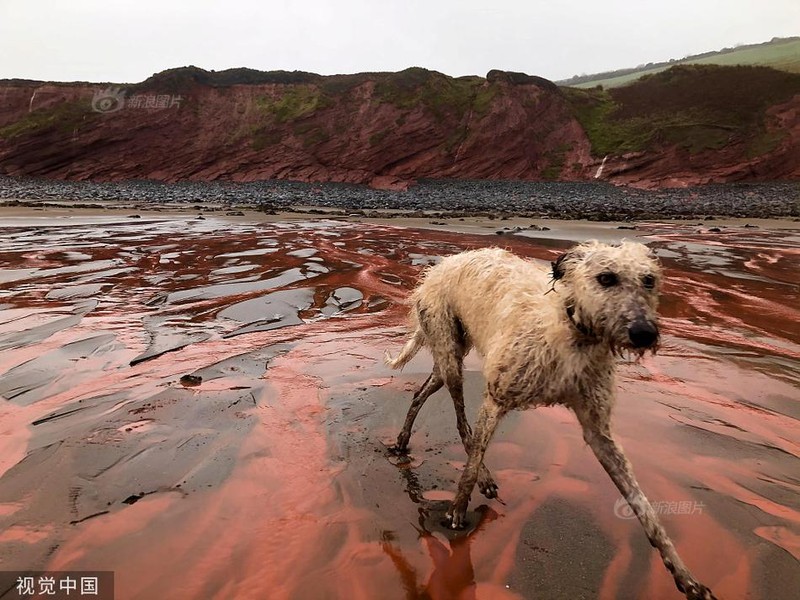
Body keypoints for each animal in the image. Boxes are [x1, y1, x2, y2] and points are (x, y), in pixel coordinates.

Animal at [384, 241, 716, 596]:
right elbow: (471, 465)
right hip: (449, 351)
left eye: (649, 280)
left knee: (422, 393)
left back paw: (402, 441)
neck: (571, 330)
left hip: (448, 357)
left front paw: (683, 574)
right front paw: (458, 511)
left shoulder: (599, 431)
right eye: (606, 277)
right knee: (461, 422)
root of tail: (438, 267)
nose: (645, 333)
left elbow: (644, 506)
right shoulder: (496, 398)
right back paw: (476, 479)